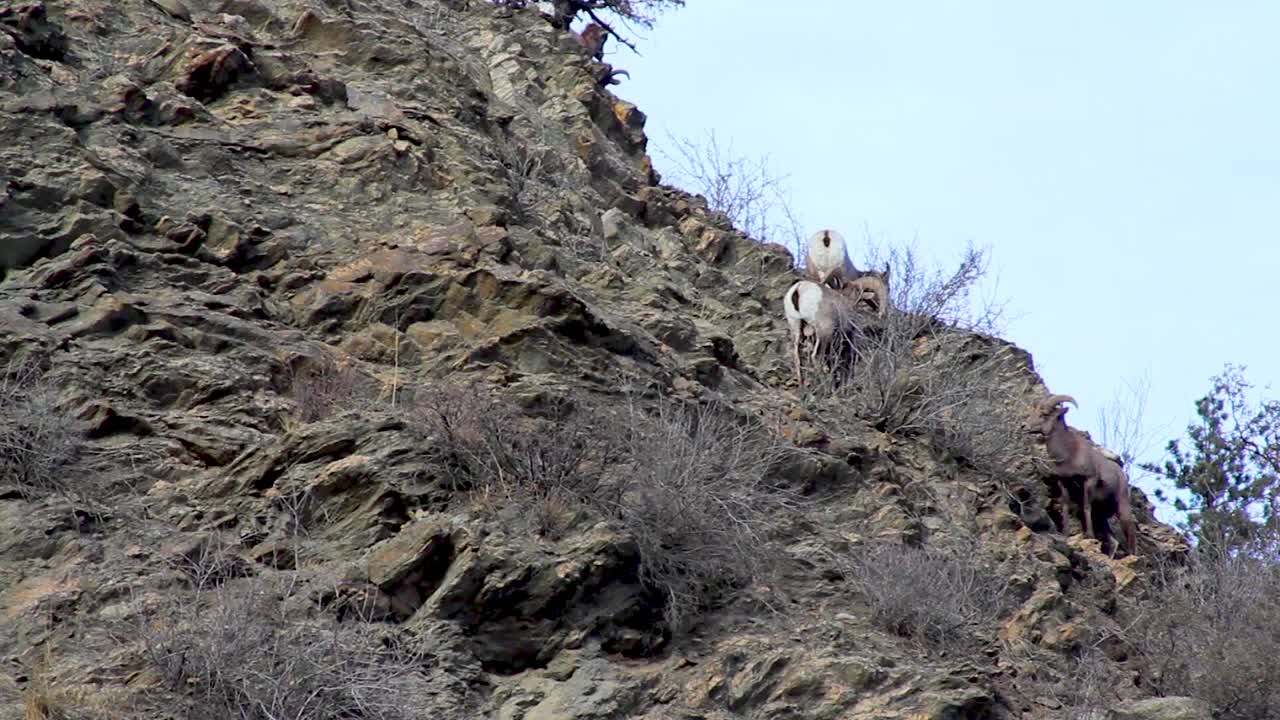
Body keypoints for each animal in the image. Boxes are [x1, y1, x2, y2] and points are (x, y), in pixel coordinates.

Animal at [1024, 394, 1138, 557]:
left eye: (1044, 414)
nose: (1024, 426)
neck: (1069, 453)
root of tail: (1121, 474)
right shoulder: (1063, 481)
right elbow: (1065, 504)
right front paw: (1065, 532)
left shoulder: (1089, 481)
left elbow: (1086, 506)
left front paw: (1089, 535)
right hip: (1101, 514)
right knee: (1114, 542)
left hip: (1121, 507)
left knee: (1130, 531)